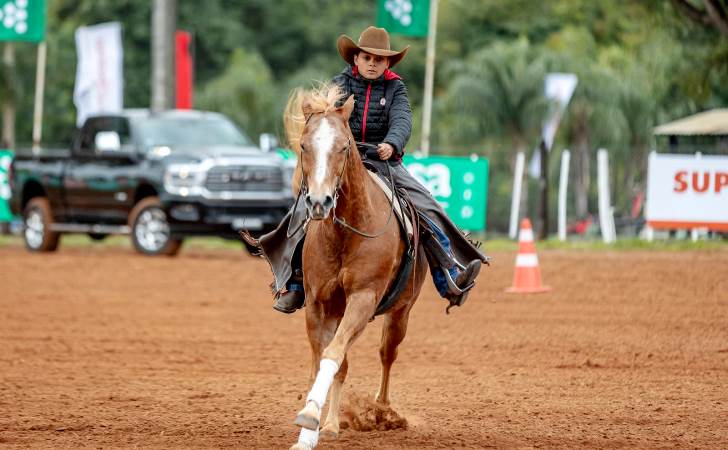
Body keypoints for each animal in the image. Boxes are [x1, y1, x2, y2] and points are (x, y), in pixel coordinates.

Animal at [288, 85, 430, 450]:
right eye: (304, 145)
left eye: (343, 146)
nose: (319, 202)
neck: (345, 234)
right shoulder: (317, 303)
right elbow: (323, 361)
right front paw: (310, 431)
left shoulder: (363, 299)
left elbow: (333, 355)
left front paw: (311, 417)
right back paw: (333, 423)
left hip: (399, 313)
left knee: (386, 353)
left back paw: (382, 410)